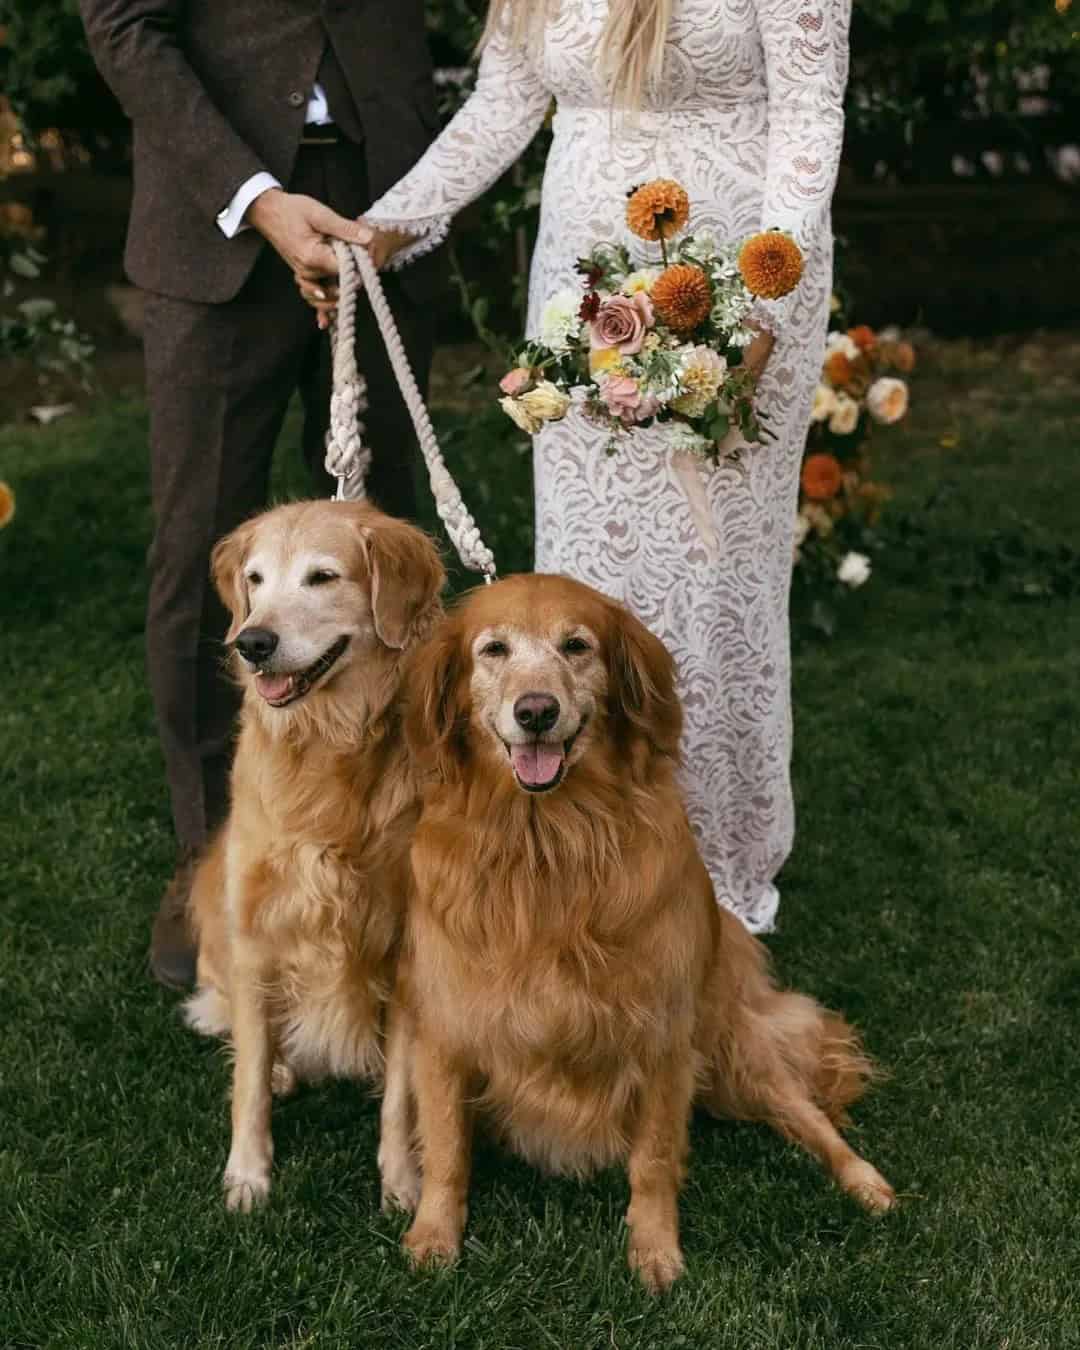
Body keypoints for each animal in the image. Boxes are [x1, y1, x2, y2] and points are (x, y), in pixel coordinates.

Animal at [186, 496, 442, 1215]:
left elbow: (401, 1100)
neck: (328, 745)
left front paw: (402, 1183)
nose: (252, 644)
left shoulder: (407, 950)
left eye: (322, 577)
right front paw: (247, 1177)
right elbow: (246, 1083)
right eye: (255, 579)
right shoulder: (254, 934)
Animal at [396, 569, 896, 1285]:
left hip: (737, 1055)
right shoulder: (446, 1028)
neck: (547, 846)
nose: (536, 711)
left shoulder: (662, 1037)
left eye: (576, 645)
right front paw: (435, 1233)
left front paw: (656, 1249)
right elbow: (444, 1148)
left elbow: (655, 1158)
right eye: (493, 650)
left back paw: (865, 1182)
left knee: (810, 1117)